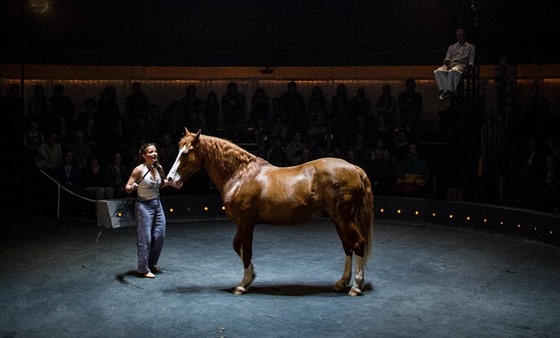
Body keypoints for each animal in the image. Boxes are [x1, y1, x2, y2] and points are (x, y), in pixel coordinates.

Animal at [167, 129, 376, 296]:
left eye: (186, 153)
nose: (170, 179)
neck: (240, 175)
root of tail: (354, 168)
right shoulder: (242, 223)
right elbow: (237, 246)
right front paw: (251, 276)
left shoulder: (246, 223)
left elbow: (247, 250)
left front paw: (243, 284)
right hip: (337, 219)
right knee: (348, 246)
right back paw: (342, 283)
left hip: (343, 218)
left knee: (358, 244)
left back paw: (356, 287)